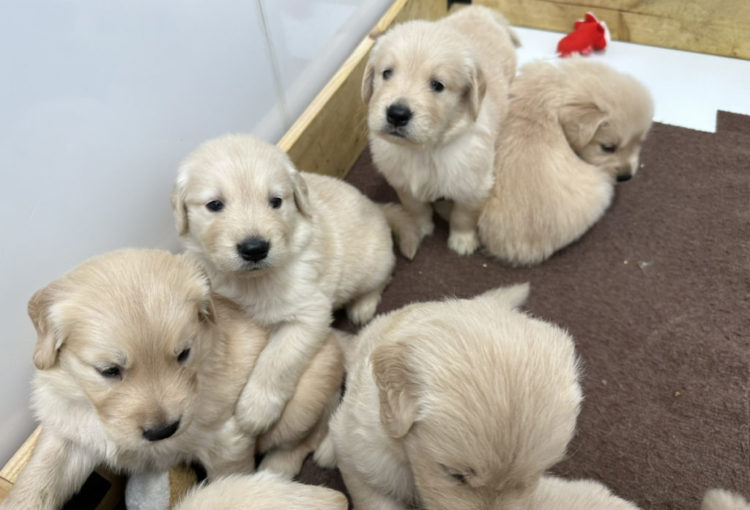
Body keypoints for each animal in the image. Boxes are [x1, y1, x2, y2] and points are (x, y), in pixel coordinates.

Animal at [0, 250, 342, 510]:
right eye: (109, 370)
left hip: (300, 404)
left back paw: (280, 467)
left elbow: (228, 483)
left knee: (309, 436)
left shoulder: (226, 440)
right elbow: (38, 479)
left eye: (184, 354)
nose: (163, 431)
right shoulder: (68, 430)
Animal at [172, 134, 394, 435]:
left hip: (372, 263)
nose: (254, 249)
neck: (249, 281)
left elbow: (277, 360)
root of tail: (377, 209)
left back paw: (363, 306)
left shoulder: (308, 313)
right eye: (214, 205)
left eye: (275, 201)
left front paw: (254, 410)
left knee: (382, 278)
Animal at [363, 5, 519, 258]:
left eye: (437, 85)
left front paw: (462, 241)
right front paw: (420, 227)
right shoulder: (402, 182)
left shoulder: (474, 187)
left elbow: (463, 216)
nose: (397, 114)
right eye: (387, 73)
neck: (425, 151)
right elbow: (415, 207)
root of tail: (481, 9)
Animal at [478, 58, 654, 266]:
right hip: (603, 186)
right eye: (608, 147)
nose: (626, 177)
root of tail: (521, 253)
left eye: (640, 143)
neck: (557, 88)